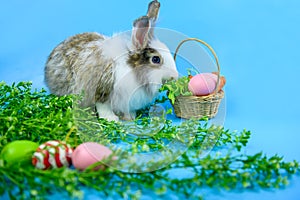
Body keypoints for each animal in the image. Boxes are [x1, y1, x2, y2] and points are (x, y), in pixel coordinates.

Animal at [43, 0, 177, 121]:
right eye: (156, 59)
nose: (174, 77)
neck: (131, 68)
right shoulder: (102, 91)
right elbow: (103, 106)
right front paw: (111, 119)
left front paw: (130, 117)